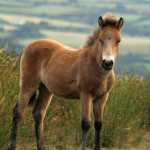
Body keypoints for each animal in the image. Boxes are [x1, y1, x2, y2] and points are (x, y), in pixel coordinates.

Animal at [8, 13, 124, 150]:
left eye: (118, 40)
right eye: (101, 40)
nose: (107, 63)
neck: (95, 66)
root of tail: (27, 46)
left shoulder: (102, 97)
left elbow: (98, 123)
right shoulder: (85, 95)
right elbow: (86, 123)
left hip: (45, 89)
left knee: (38, 113)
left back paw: (42, 146)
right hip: (28, 85)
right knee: (18, 112)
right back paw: (12, 145)